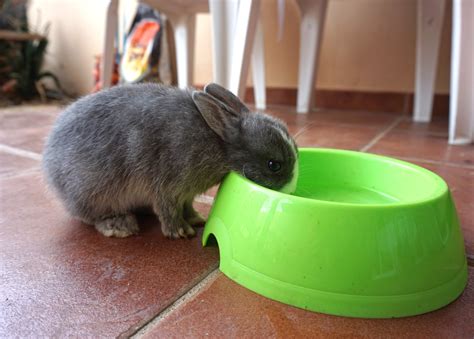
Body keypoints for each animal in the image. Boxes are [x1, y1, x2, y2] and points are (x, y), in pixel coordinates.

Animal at [42, 83, 298, 239]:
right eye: (274, 164)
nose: (292, 189)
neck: (220, 143)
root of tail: (48, 164)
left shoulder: (186, 193)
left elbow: (187, 206)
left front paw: (196, 219)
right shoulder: (168, 187)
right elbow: (169, 210)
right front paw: (180, 231)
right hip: (93, 192)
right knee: (91, 216)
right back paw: (120, 225)